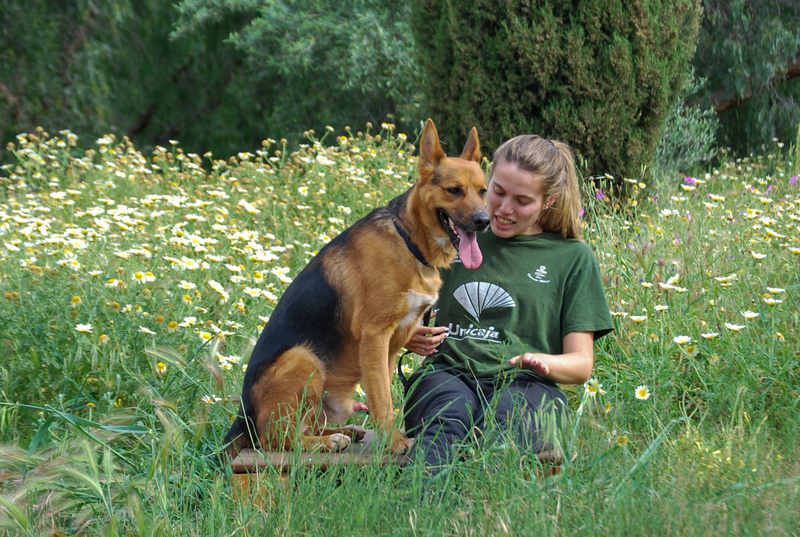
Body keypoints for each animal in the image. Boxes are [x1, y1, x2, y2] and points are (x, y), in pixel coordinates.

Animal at [222, 119, 490, 454]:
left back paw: (344, 432)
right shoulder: (375, 337)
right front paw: (394, 442)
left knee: (303, 428)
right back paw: (328, 442)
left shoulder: (391, 344)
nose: (484, 221)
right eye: (454, 190)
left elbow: (383, 397)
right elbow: (382, 400)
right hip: (303, 358)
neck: (409, 240)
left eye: (483, 191)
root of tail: (243, 417)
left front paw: (389, 438)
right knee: (280, 439)